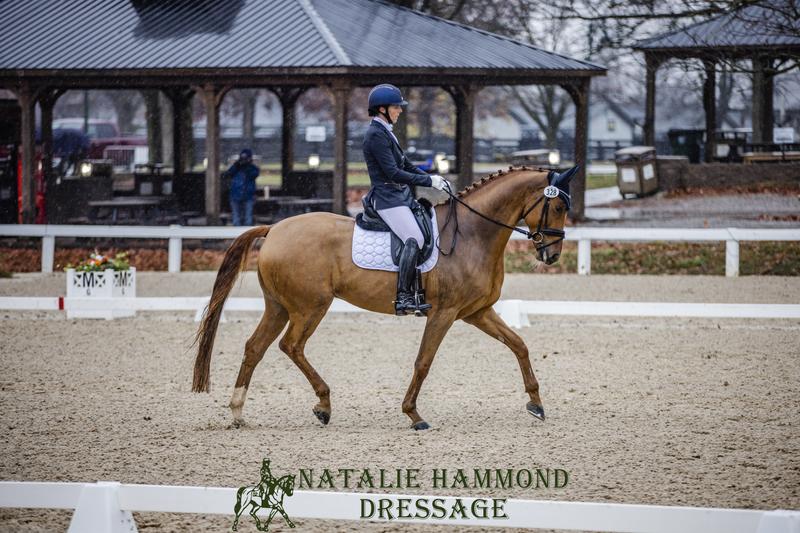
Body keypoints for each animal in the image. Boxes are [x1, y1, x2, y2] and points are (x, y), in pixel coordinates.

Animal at [192, 164, 576, 430]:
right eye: (558, 208)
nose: (552, 255)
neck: (471, 235)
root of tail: (273, 229)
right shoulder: (445, 312)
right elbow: (423, 362)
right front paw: (413, 414)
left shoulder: (477, 312)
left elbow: (519, 345)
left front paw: (536, 403)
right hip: (310, 307)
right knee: (291, 346)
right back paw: (323, 405)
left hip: (279, 307)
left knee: (255, 348)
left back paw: (238, 412)